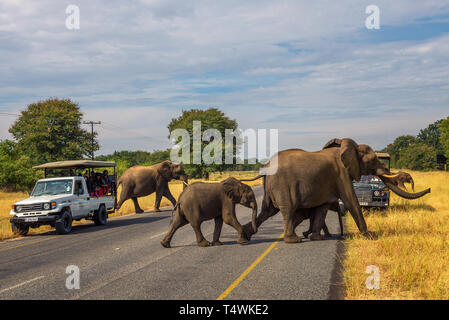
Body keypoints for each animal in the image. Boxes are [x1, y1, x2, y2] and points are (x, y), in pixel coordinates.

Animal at [242, 138, 430, 242]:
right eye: (373, 160)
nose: (429, 189)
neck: (350, 147)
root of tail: (266, 167)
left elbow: (323, 207)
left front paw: (317, 238)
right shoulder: (341, 174)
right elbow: (351, 200)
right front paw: (370, 236)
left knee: (268, 210)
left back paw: (244, 236)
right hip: (283, 186)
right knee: (287, 209)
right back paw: (293, 240)